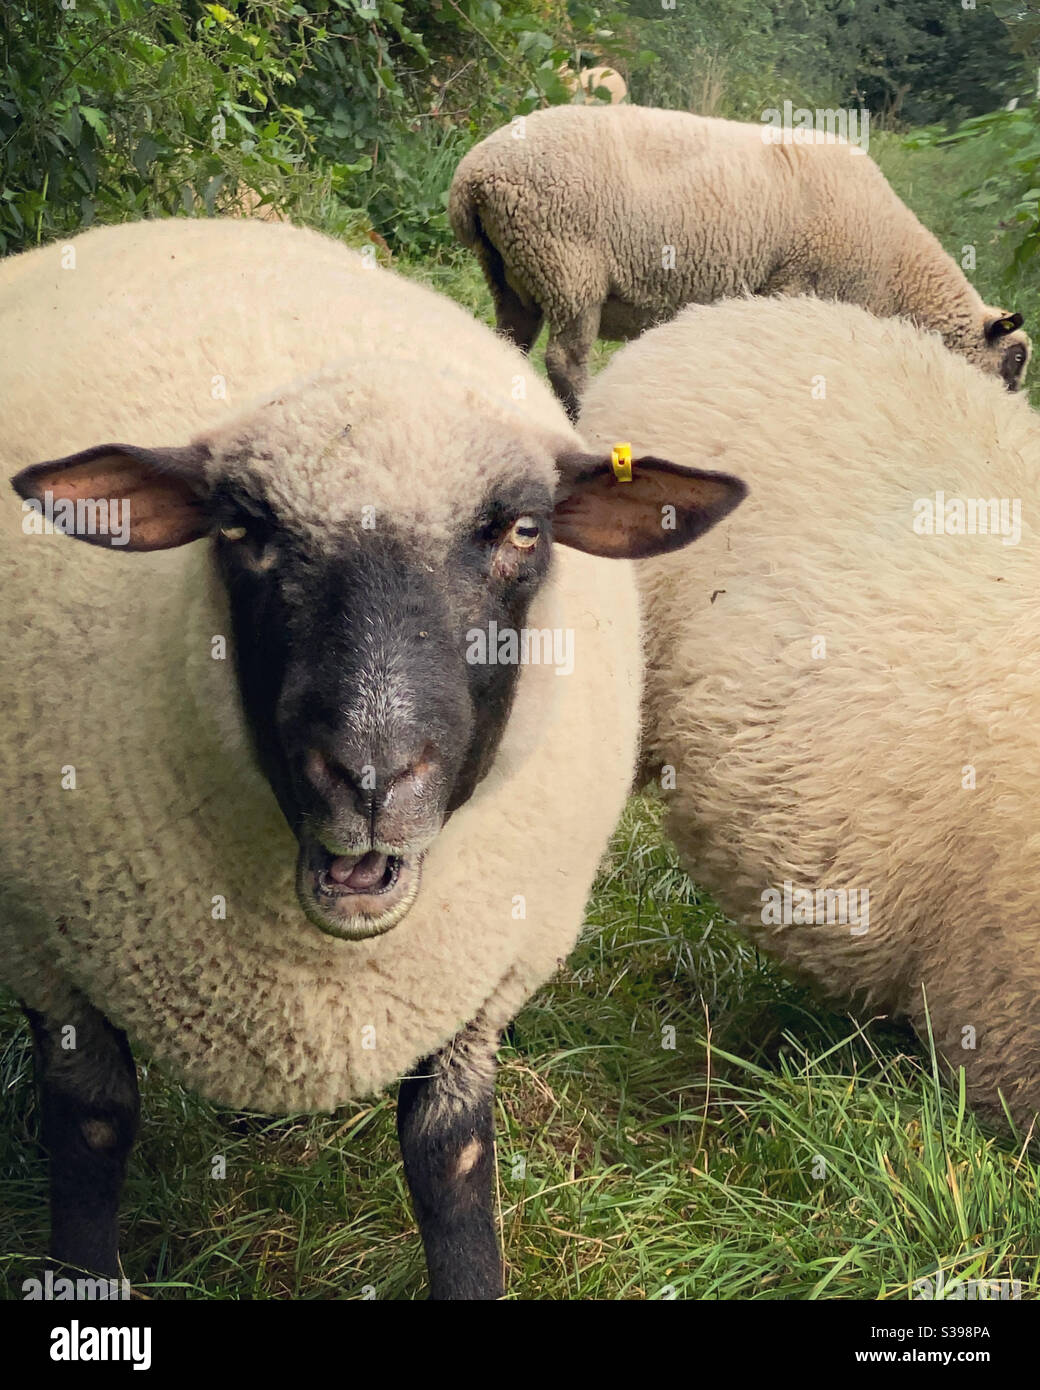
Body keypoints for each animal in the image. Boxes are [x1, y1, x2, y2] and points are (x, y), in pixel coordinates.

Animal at [0, 215, 745, 1298]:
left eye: (524, 528)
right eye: (242, 527)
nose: (368, 779)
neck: (328, 968)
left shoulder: (476, 971)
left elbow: (449, 1155)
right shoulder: (44, 941)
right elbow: (93, 1126)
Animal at [449, 104, 1031, 419]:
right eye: (1017, 361)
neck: (898, 272)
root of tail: (473, 178)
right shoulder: (798, 286)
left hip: (512, 274)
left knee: (508, 343)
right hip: (568, 266)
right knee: (565, 360)